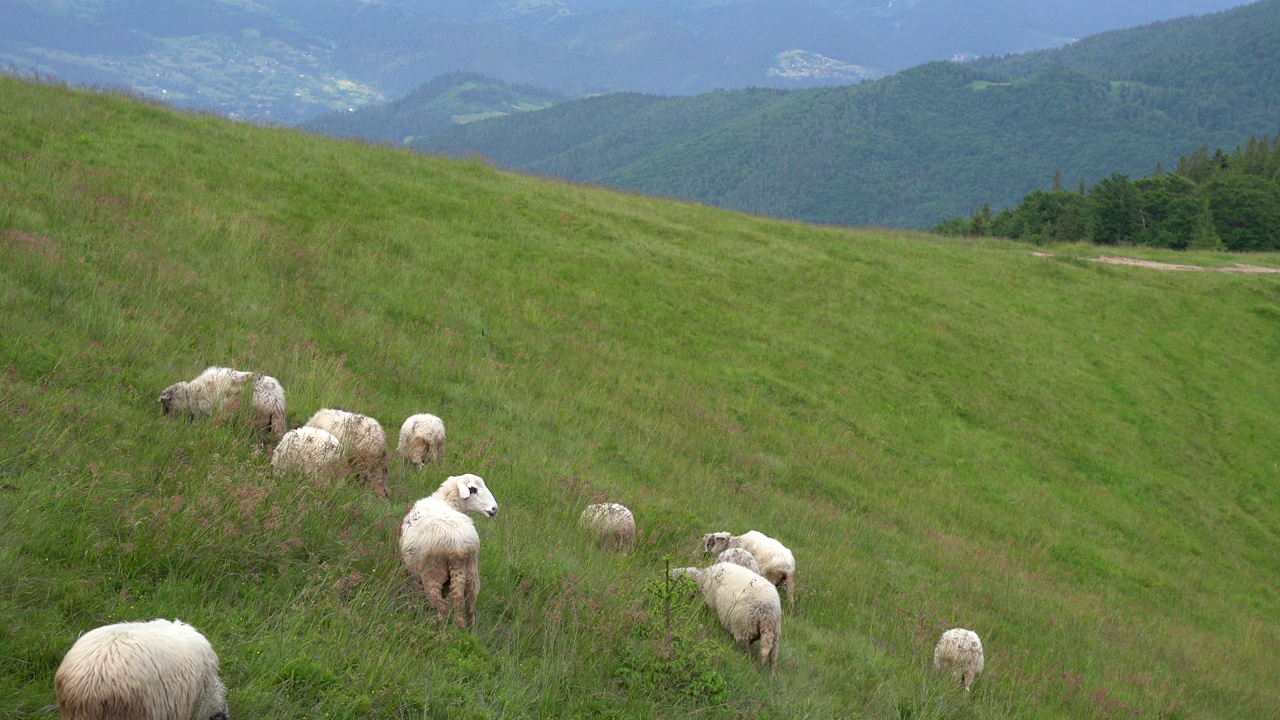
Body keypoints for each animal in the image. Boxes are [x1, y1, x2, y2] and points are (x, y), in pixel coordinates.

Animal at [399, 471, 499, 627]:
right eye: (472, 489)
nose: (494, 508)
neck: (445, 501)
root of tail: (458, 549)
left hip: (433, 573)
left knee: (442, 608)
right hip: (471, 574)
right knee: (471, 609)